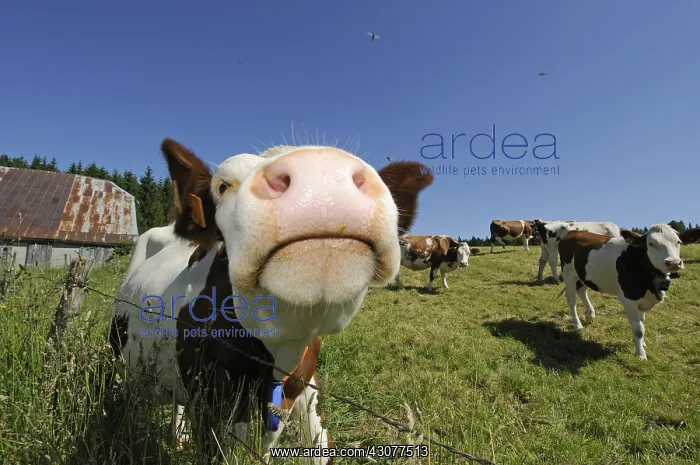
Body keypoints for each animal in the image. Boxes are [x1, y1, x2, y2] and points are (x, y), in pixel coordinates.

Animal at [109, 139, 433, 463]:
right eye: (222, 186)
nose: (322, 174)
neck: (279, 355)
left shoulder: (304, 389)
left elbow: (314, 444)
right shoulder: (211, 402)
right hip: (120, 359)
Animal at [558, 224, 684, 360]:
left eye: (678, 242)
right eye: (651, 243)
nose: (674, 263)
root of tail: (573, 232)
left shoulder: (642, 299)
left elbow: (642, 322)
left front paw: (642, 344)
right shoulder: (628, 298)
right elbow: (639, 329)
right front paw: (641, 354)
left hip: (586, 275)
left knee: (581, 290)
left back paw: (590, 315)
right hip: (568, 271)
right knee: (571, 298)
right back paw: (577, 324)